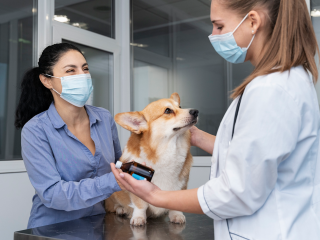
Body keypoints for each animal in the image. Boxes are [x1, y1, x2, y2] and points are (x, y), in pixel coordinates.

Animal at [106, 93, 199, 226]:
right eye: (168, 110)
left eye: (180, 107)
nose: (196, 111)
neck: (167, 151)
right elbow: (140, 205)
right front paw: (139, 218)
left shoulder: (181, 184)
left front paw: (176, 215)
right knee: (113, 206)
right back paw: (121, 209)